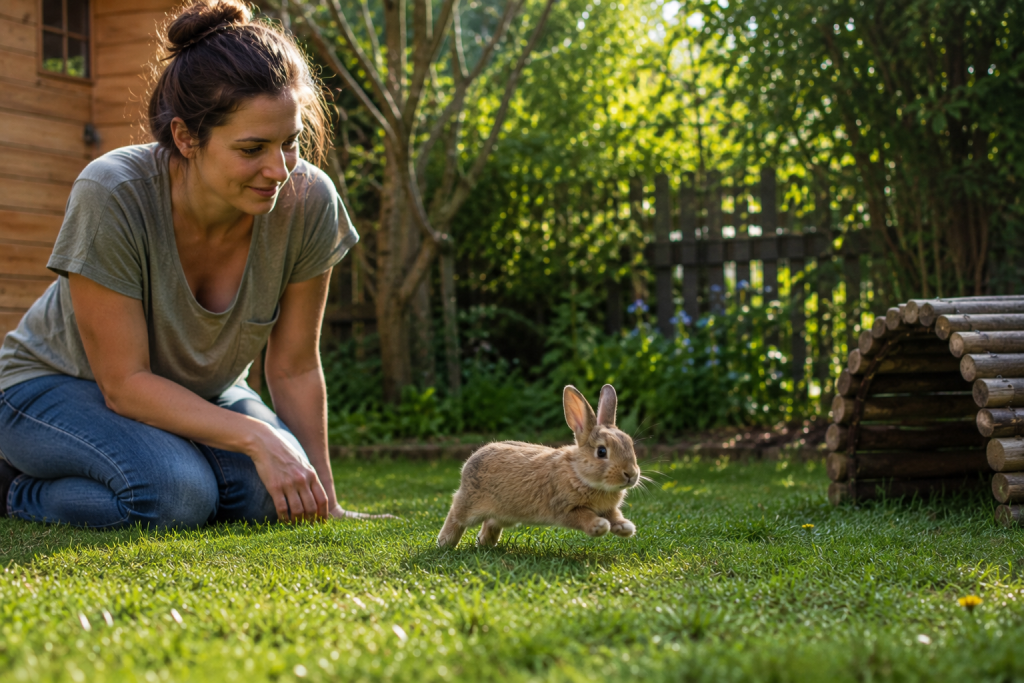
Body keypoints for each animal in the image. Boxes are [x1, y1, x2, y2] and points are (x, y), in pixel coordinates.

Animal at [437, 384, 639, 548]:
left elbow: (614, 515)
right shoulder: (565, 508)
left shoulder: (608, 509)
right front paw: (599, 526)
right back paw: (445, 543)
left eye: (630, 444)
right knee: (456, 514)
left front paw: (625, 527)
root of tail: (472, 459)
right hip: (470, 505)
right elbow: (583, 517)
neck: (577, 473)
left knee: (491, 523)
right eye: (602, 452)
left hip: (505, 514)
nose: (631, 474)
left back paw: (485, 544)